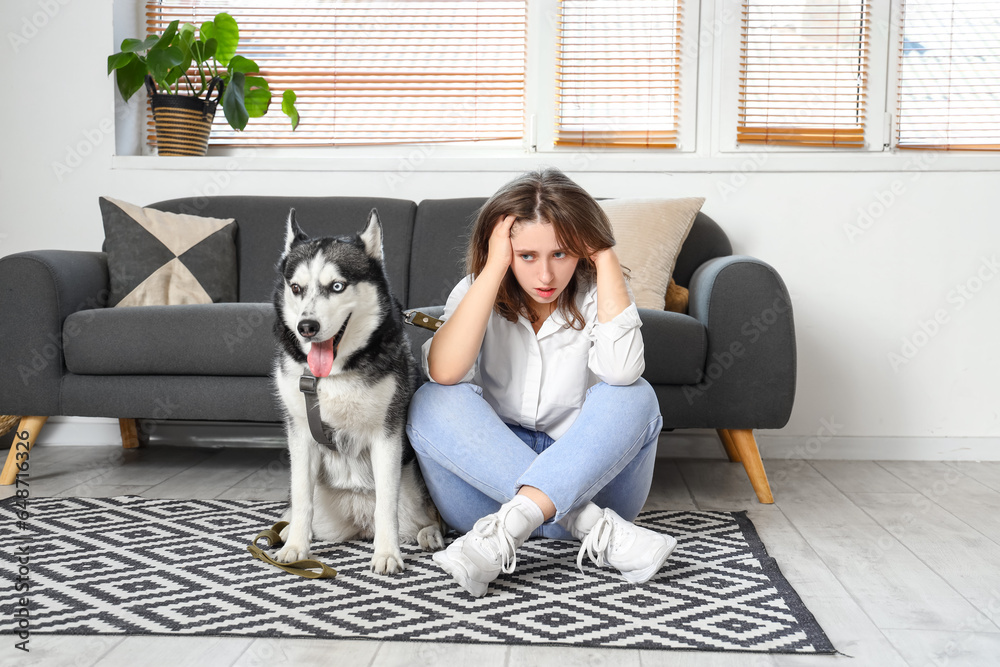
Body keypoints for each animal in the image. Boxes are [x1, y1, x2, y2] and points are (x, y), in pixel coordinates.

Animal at [274, 207, 446, 576]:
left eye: (337, 286)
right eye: (296, 288)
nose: (306, 327)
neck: (336, 374)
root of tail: (359, 522)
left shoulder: (387, 436)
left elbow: (386, 504)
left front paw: (387, 554)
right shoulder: (301, 436)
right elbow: (301, 498)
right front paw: (295, 547)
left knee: (426, 515)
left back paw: (429, 533)